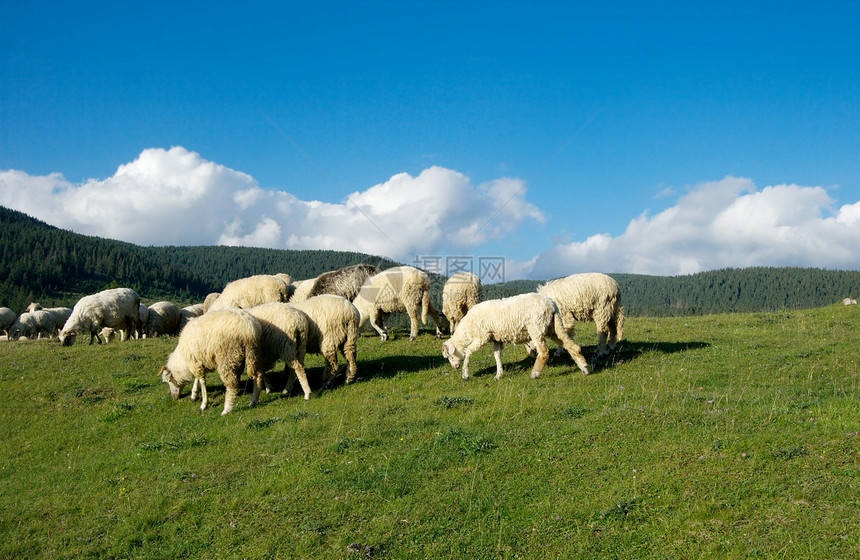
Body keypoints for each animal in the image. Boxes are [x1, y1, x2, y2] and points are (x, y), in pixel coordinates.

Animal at [440, 294, 588, 380]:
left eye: (449, 356)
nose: (455, 367)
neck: (468, 329)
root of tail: (552, 304)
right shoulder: (496, 338)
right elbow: (497, 355)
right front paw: (499, 374)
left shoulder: (482, 337)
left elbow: (469, 352)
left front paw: (465, 374)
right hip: (552, 327)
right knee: (571, 345)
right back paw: (584, 368)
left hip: (536, 327)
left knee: (544, 352)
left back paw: (535, 374)